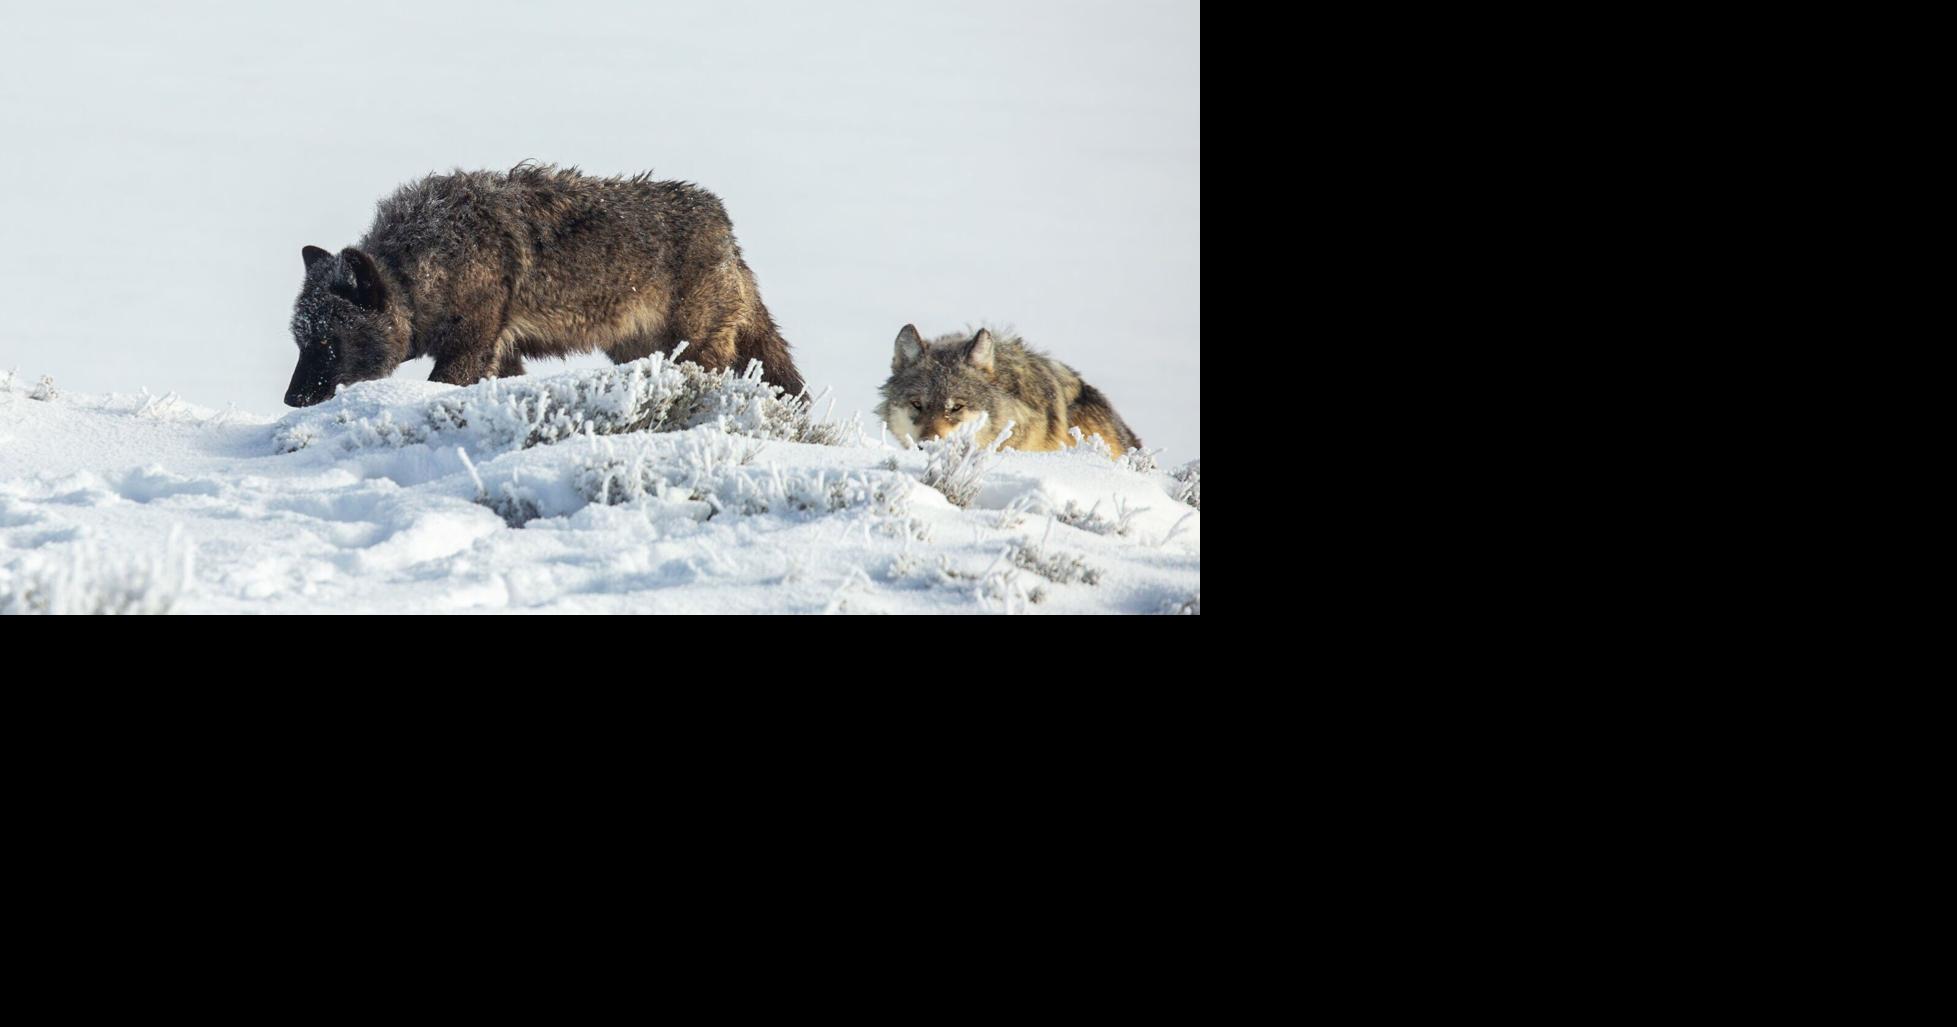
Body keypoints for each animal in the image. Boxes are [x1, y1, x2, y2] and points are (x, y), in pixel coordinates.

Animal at [285, 163, 804, 407]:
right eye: (301, 342)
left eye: (329, 343)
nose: (292, 400)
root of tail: (725, 228)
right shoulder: (501, 354)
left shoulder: (469, 349)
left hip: (692, 351)